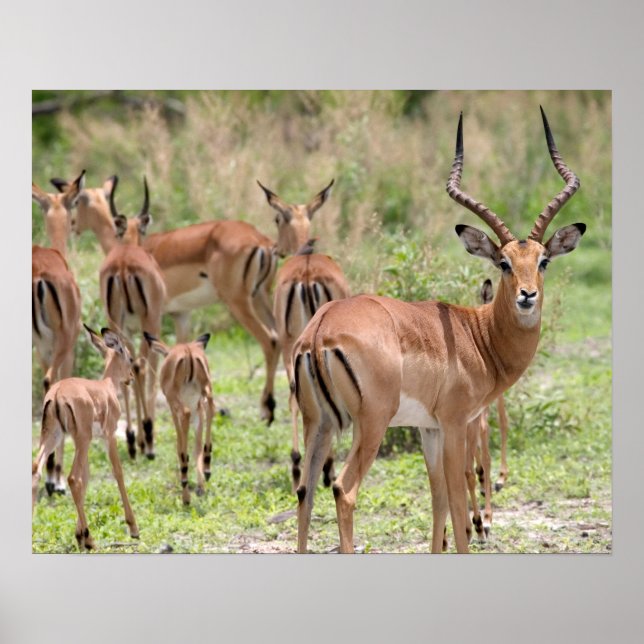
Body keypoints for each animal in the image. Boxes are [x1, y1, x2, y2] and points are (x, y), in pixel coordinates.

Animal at [32, 326, 139, 550]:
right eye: (130, 357)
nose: (131, 377)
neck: (106, 387)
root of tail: (57, 394)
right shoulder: (108, 436)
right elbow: (118, 473)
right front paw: (133, 528)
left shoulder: (86, 442)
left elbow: (87, 477)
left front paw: (79, 535)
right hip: (81, 439)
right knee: (73, 478)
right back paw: (91, 540)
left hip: (54, 437)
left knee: (36, 469)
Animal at [55, 174, 335, 425]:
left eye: (78, 200)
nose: (73, 225)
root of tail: (263, 242)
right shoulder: (182, 315)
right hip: (261, 297)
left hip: (237, 301)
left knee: (270, 340)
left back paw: (267, 410)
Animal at [144, 332, 216, 504]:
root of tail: (188, 352)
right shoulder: (198, 408)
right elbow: (197, 445)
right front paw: (200, 487)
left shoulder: (173, 407)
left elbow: (179, 442)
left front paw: (187, 495)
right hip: (206, 390)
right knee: (211, 407)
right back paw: (207, 466)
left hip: (176, 401)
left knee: (185, 414)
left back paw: (185, 482)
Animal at [293, 107, 585, 553]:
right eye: (503, 262)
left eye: (543, 260)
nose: (527, 295)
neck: (477, 336)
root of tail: (319, 329)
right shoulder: (455, 422)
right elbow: (459, 503)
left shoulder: (428, 428)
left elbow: (438, 501)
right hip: (370, 423)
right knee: (343, 489)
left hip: (319, 422)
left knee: (305, 492)